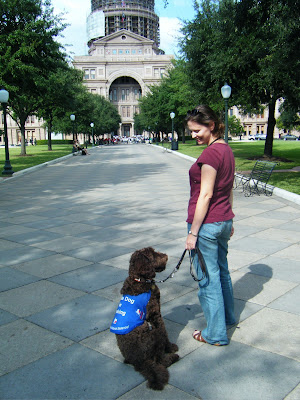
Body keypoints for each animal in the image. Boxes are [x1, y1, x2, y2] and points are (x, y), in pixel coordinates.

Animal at [111, 247, 179, 390]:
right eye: (153, 254)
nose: (166, 255)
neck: (140, 280)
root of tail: (140, 363)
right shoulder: (155, 315)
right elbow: (164, 333)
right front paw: (170, 347)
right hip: (153, 334)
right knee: (159, 360)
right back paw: (173, 357)